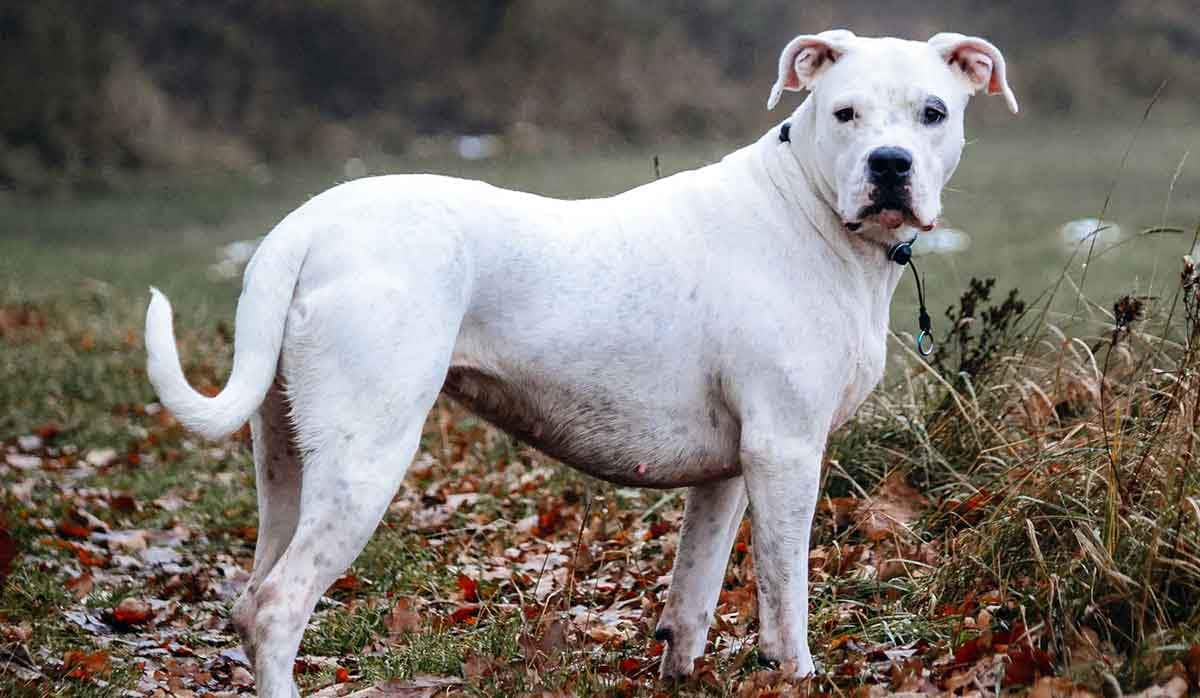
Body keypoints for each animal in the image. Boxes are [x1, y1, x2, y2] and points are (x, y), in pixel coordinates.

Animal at [145, 30, 1017, 695]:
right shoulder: (788, 452)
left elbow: (694, 595)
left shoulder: (731, 471)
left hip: (287, 457)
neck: (809, 208)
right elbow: (784, 590)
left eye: (933, 113)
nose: (890, 164)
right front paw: (795, 672)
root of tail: (308, 224)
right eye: (845, 113)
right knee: (278, 606)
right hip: (366, 457)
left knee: (251, 596)